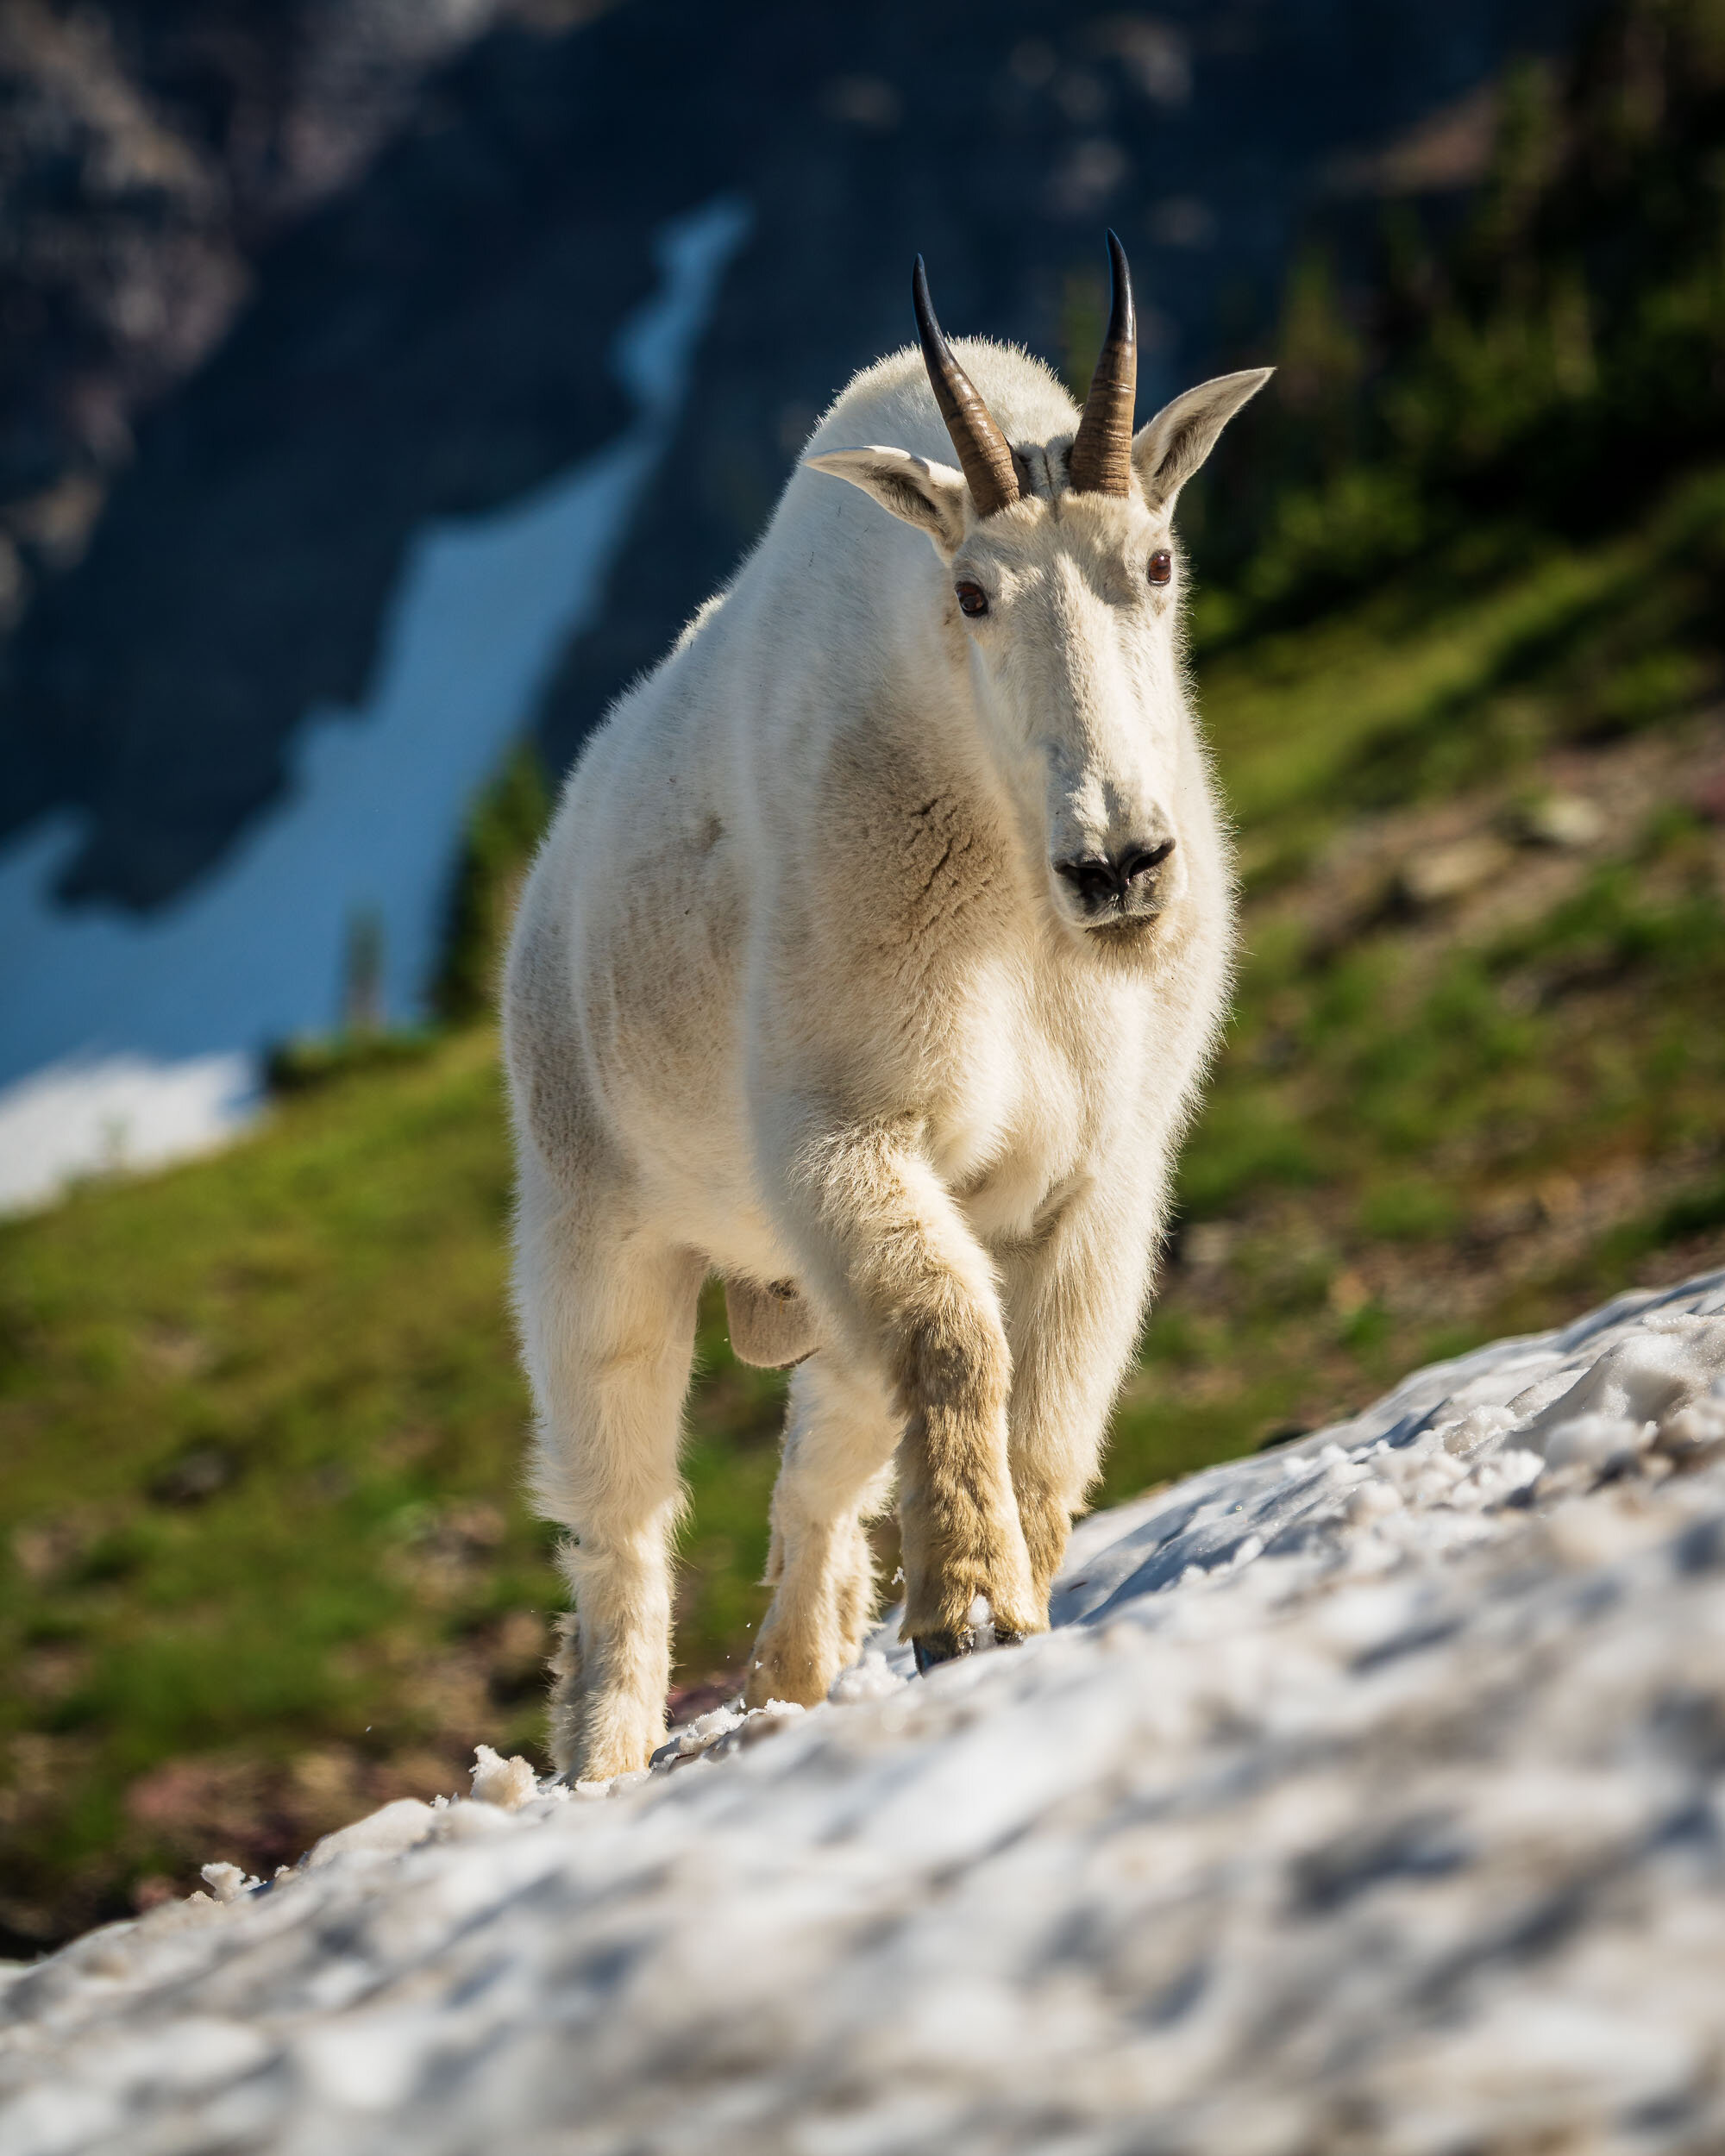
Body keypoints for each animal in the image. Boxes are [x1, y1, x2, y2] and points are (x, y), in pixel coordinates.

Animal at [502, 240, 1268, 1785]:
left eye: (1156, 563)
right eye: (970, 594)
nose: (1122, 866)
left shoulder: (1100, 1176)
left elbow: (1049, 1409)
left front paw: (1010, 1606)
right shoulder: (847, 1133)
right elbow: (960, 1345)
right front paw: (969, 1610)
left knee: (819, 1466)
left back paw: (795, 1675)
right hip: (591, 1226)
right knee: (621, 1513)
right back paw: (606, 1753)